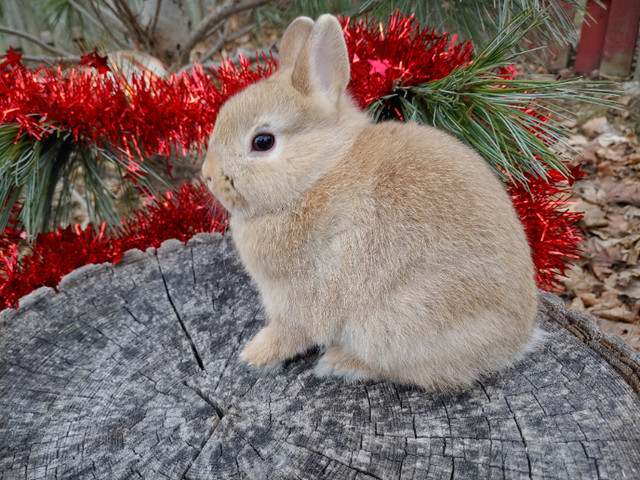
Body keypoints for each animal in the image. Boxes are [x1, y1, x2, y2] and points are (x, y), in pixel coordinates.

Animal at [201, 14, 540, 390]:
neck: (317, 173)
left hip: (395, 324)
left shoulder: (301, 301)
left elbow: (290, 333)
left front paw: (254, 356)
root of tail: (516, 341)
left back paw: (339, 362)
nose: (207, 176)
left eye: (263, 142)